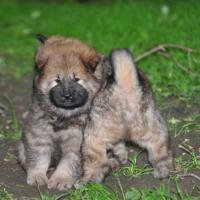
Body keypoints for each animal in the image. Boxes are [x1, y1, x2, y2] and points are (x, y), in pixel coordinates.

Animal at [17, 34, 111, 191]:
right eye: (57, 80)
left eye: (77, 79)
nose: (67, 95)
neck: (63, 116)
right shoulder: (39, 131)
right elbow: (38, 156)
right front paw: (37, 176)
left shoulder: (77, 141)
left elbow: (69, 162)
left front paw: (60, 179)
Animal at [80, 48, 173, 183]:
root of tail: (124, 86)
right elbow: (119, 145)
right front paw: (122, 156)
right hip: (150, 129)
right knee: (161, 153)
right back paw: (162, 172)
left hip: (93, 138)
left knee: (96, 162)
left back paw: (87, 181)